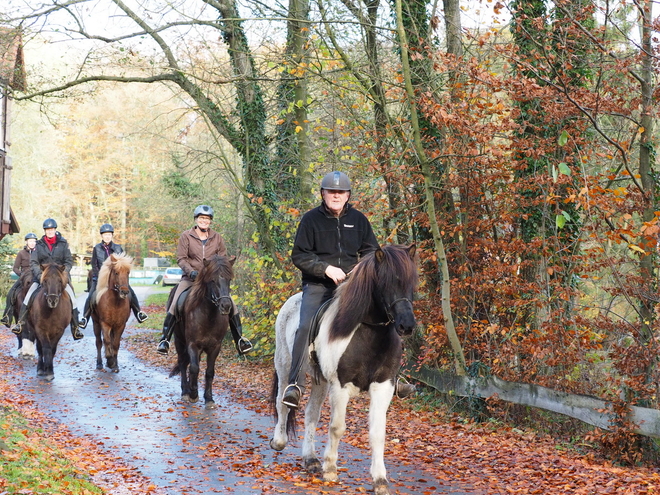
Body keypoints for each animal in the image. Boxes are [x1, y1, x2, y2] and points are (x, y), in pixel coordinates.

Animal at [169, 256, 236, 410]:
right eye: (212, 280)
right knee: (183, 363)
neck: (208, 315)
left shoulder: (215, 347)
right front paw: (193, 394)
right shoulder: (193, 344)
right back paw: (185, 391)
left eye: (229, 279)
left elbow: (209, 371)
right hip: (179, 340)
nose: (226, 306)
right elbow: (194, 368)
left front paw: (209, 398)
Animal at [270, 244, 418, 495]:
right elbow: (337, 427)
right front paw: (330, 469)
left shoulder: (383, 387)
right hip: (285, 366)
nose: (407, 325)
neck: (368, 334)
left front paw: (380, 480)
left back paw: (310, 459)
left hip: (320, 381)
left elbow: (378, 433)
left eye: (411, 282)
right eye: (387, 282)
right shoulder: (341, 386)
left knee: (311, 414)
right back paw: (279, 441)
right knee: (283, 402)